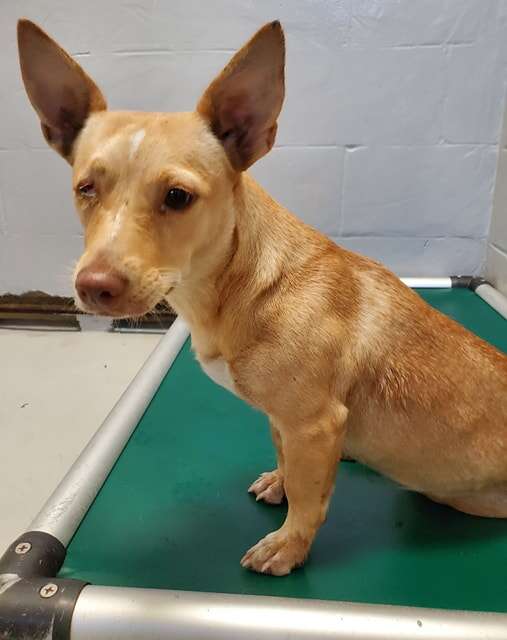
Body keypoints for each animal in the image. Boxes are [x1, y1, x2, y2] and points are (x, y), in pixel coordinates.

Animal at [17, 18, 507, 576]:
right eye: (86, 188)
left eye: (178, 197)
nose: (94, 286)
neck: (237, 289)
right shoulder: (287, 422)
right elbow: (288, 464)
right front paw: (282, 482)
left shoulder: (314, 424)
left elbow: (309, 501)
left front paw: (288, 546)